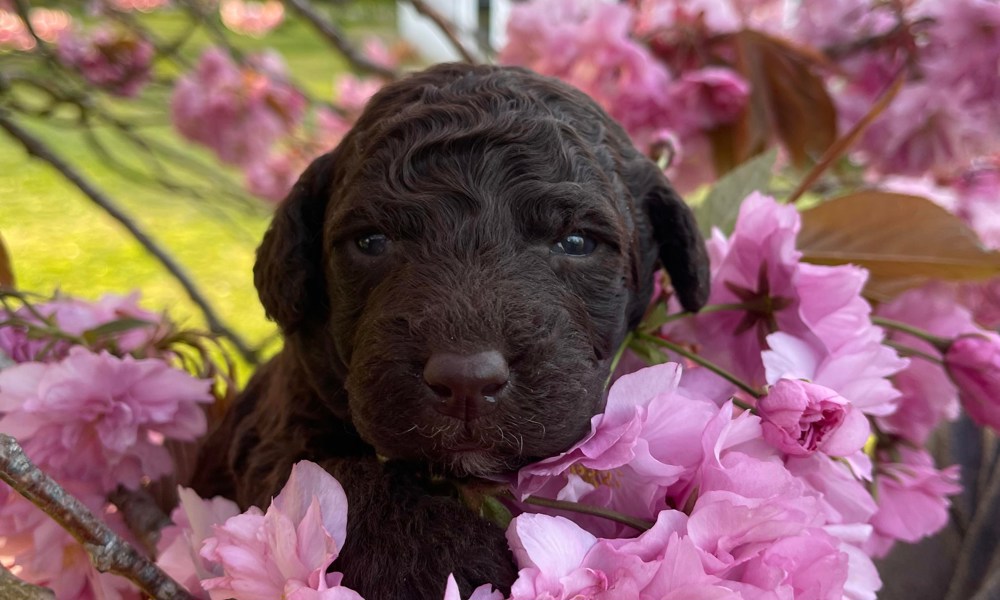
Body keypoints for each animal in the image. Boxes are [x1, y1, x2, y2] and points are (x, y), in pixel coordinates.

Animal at [193, 62, 712, 600]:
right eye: (371, 241)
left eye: (576, 241)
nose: (467, 382)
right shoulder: (277, 434)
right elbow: (346, 481)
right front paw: (456, 560)